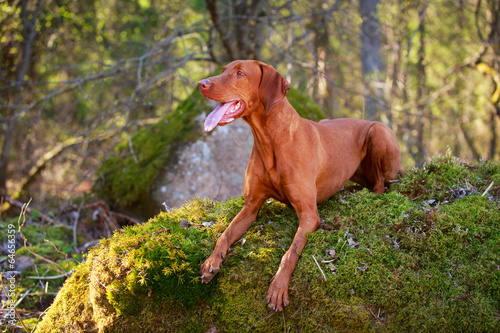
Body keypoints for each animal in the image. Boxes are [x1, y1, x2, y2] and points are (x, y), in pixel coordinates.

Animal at [197, 59, 400, 312]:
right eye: (224, 70)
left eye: (240, 73)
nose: (201, 84)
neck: (270, 139)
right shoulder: (250, 207)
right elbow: (224, 234)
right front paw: (211, 261)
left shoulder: (309, 215)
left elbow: (291, 252)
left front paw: (278, 286)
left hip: (377, 132)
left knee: (381, 184)